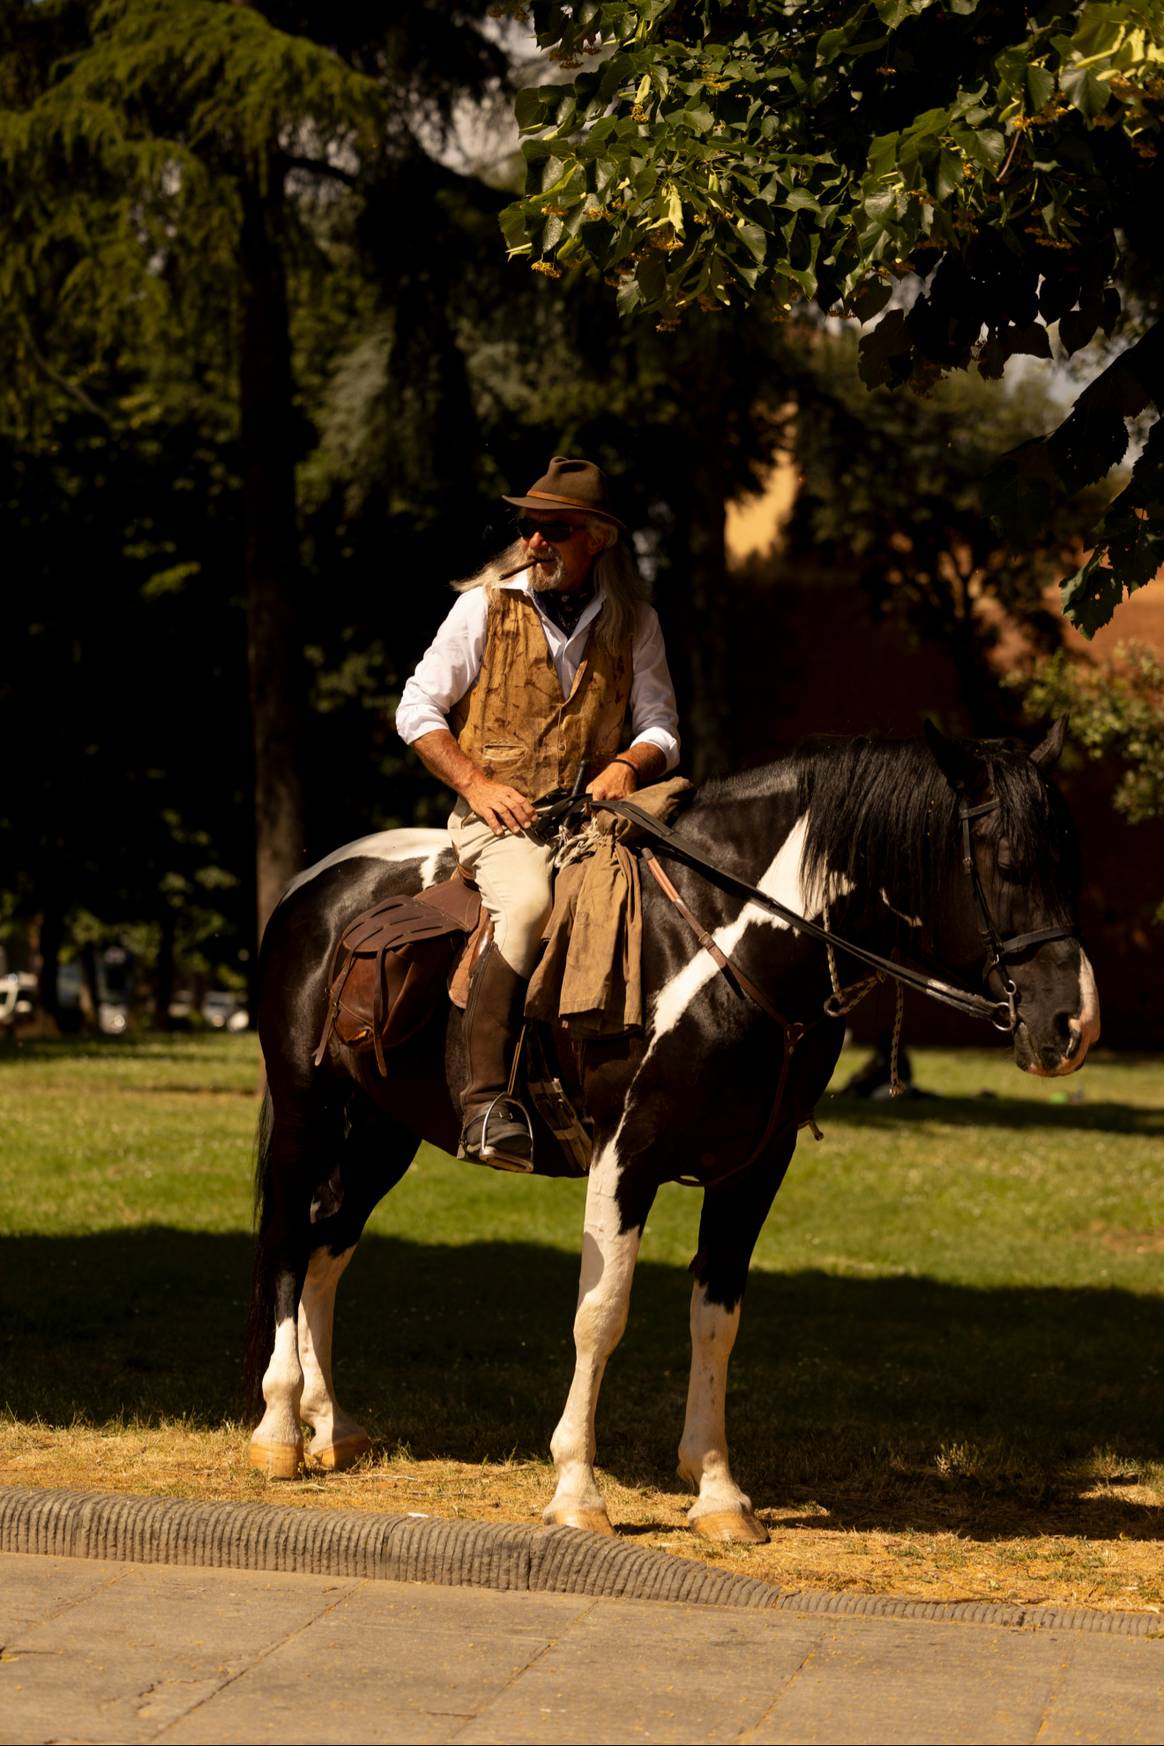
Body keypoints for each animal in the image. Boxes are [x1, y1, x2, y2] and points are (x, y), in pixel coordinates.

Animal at [246, 722, 1102, 1543]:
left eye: (1070, 861)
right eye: (1008, 864)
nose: (1074, 1024)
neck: (720, 948)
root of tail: (314, 887)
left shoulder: (753, 1170)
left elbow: (716, 1320)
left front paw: (718, 1492)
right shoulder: (626, 1159)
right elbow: (601, 1315)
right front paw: (576, 1491)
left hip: (381, 1133)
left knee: (328, 1246)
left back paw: (333, 1425)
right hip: (307, 1111)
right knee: (289, 1237)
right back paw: (281, 1428)